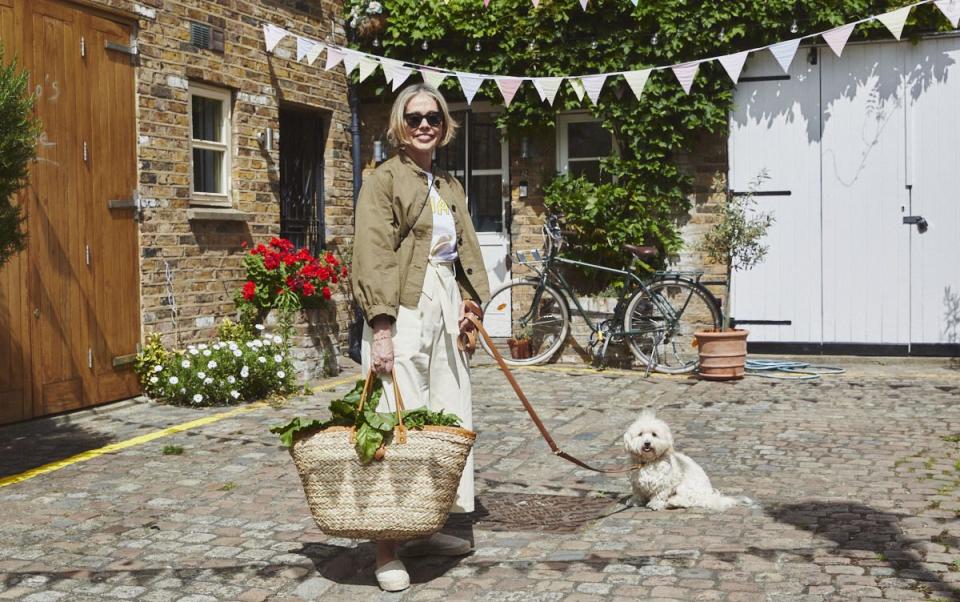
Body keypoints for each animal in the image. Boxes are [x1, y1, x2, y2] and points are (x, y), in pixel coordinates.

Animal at [624, 410, 752, 508]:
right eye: (640, 434)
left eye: (654, 434)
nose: (647, 443)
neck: (648, 462)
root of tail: (708, 496)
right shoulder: (636, 483)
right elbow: (638, 493)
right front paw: (635, 501)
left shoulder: (664, 484)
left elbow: (659, 494)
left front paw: (655, 504)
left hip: (685, 487)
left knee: (689, 501)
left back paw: (673, 502)